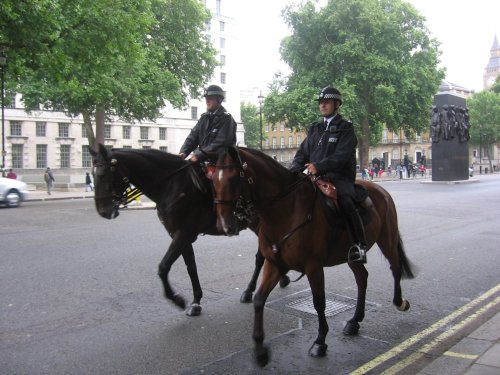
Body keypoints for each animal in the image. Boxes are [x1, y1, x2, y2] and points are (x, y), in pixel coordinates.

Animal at [92, 144, 292, 318]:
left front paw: (177, 299)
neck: (172, 185)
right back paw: (281, 278)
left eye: (105, 173)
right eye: (94, 174)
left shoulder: (184, 233)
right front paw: (196, 302)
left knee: (260, 257)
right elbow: (191, 266)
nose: (103, 211)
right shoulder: (180, 235)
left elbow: (163, 267)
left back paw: (250, 290)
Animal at [210, 147, 414, 368]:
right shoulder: (275, 264)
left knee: (395, 267)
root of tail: (381, 190)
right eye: (213, 180)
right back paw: (354, 322)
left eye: (233, 179)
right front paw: (260, 350)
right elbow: (259, 299)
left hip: (387, 238)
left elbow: (319, 302)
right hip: (350, 255)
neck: (286, 211)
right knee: (362, 278)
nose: (224, 225)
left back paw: (399, 302)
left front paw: (320, 342)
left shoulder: (313, 267)